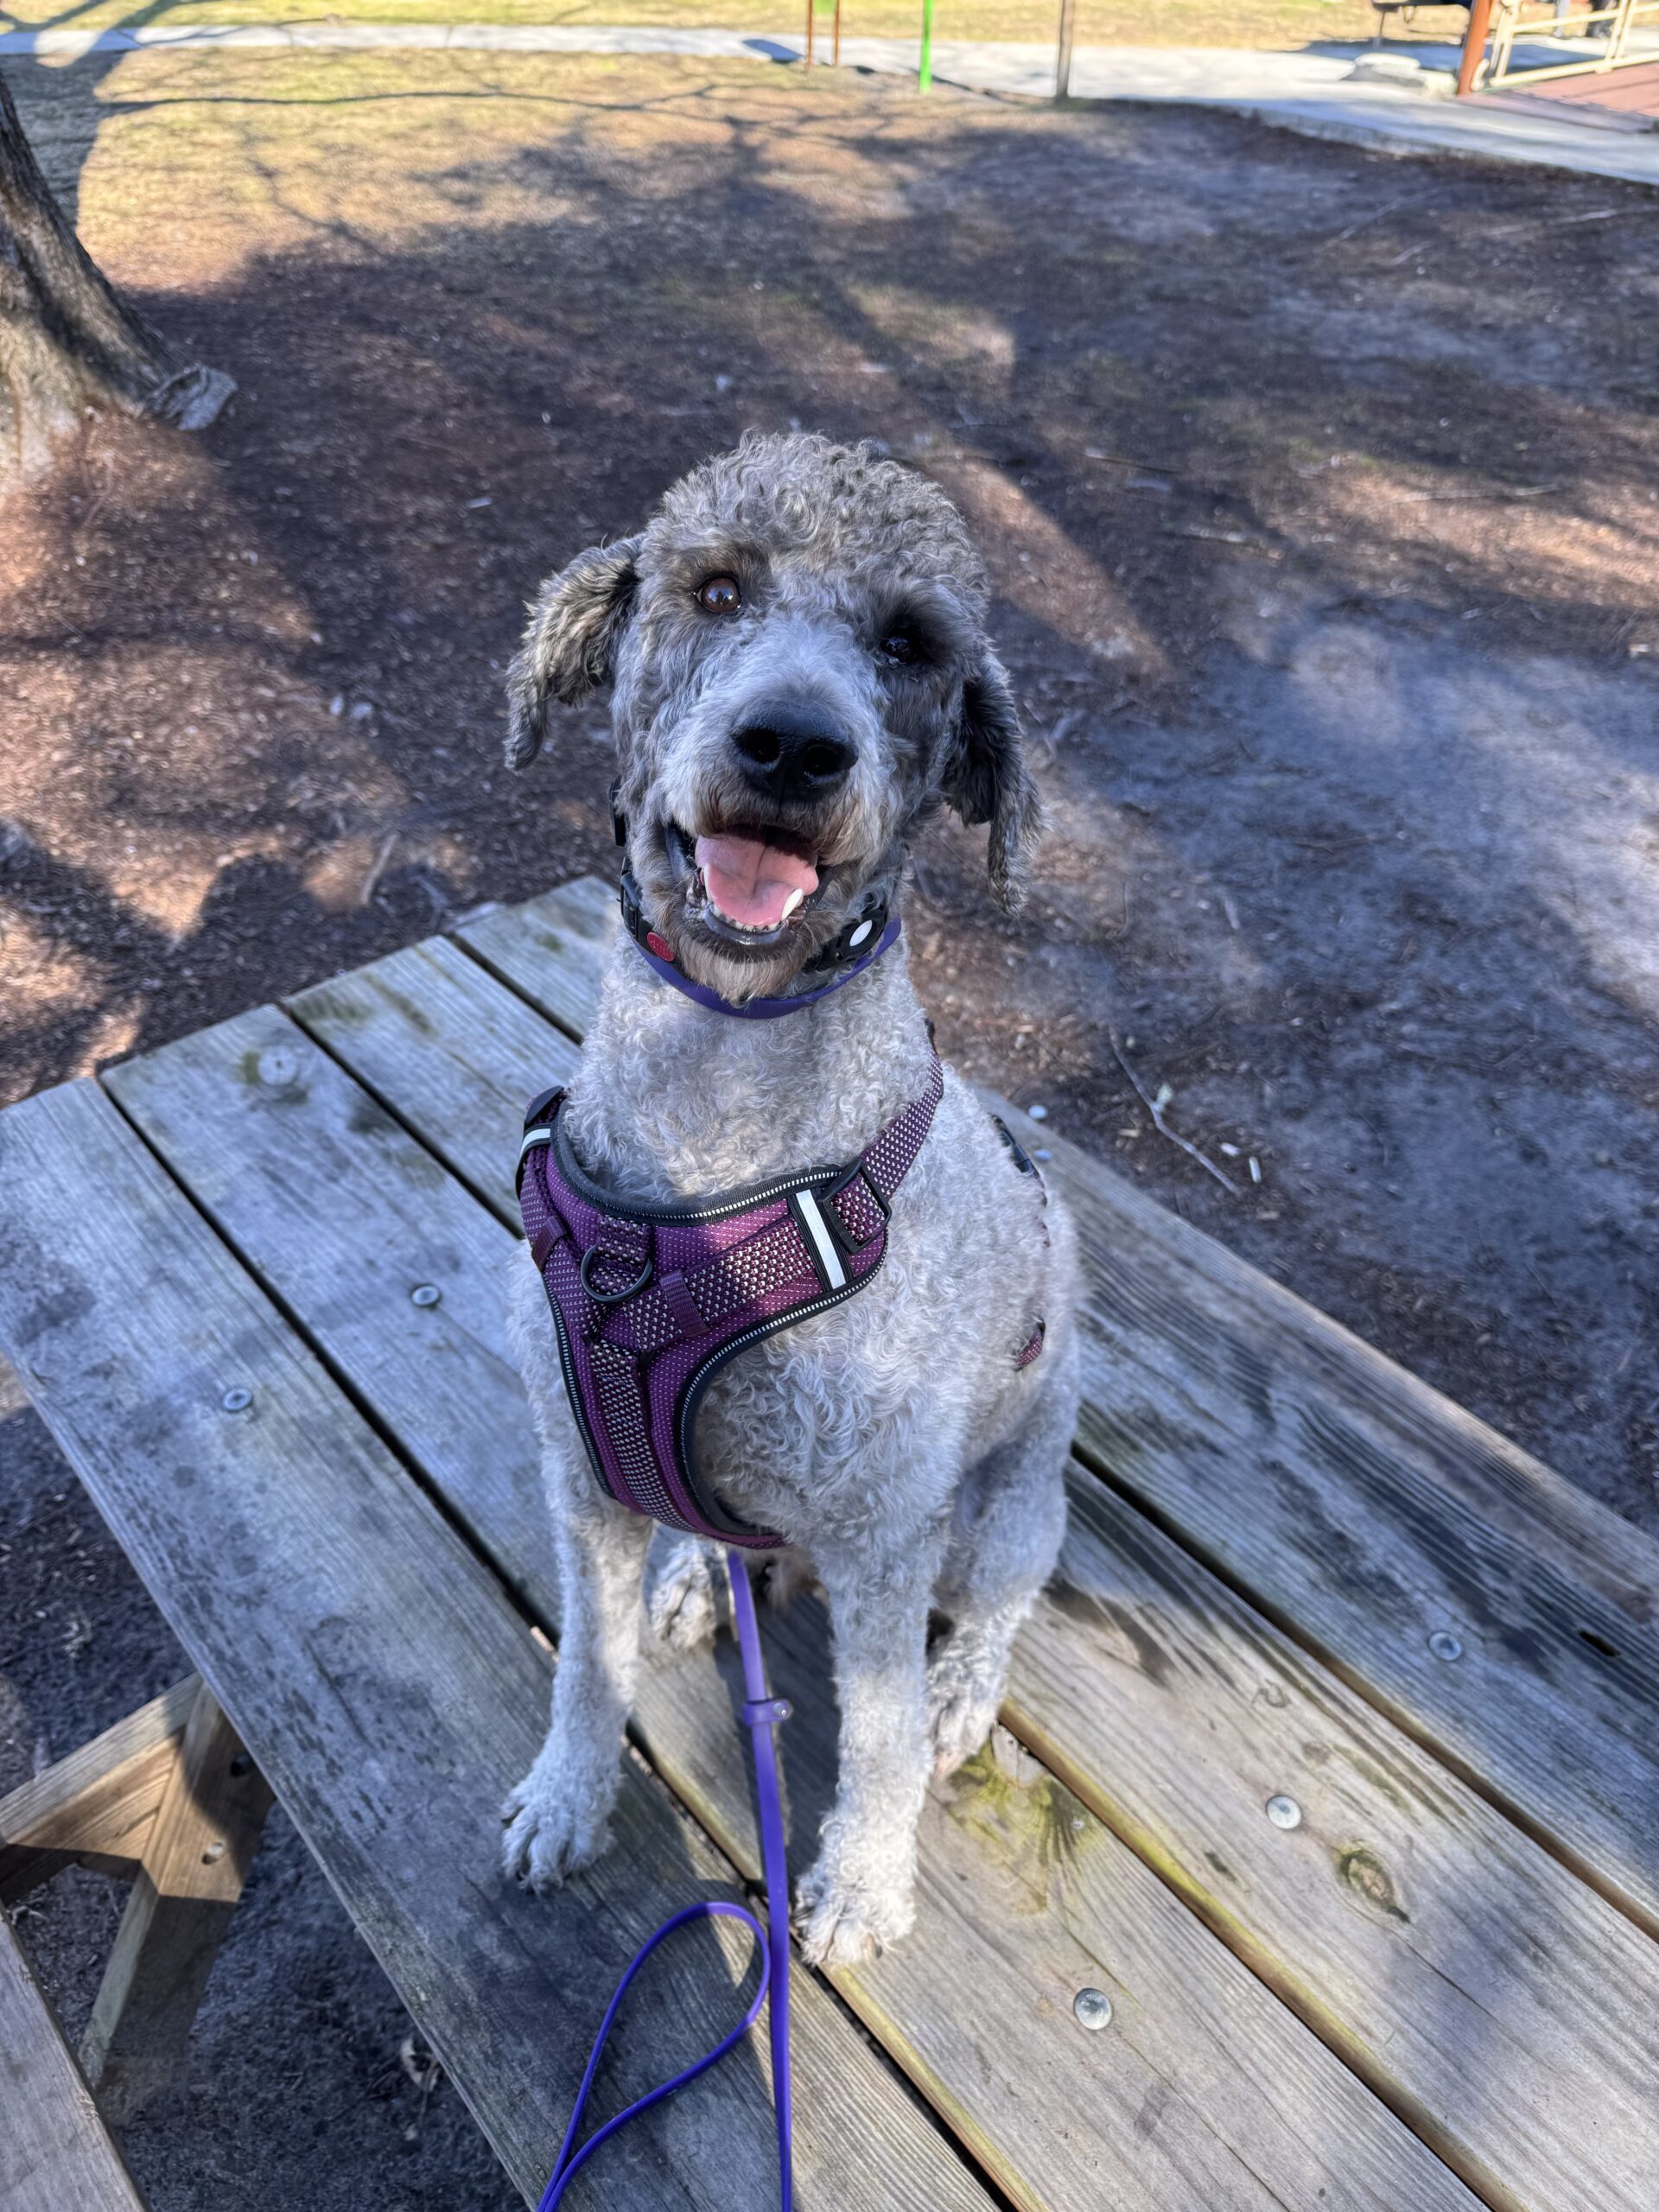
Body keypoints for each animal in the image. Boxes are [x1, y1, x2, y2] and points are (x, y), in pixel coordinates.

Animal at [499, 431, 1084, 1973]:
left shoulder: (884, 1537)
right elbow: (588, 1663)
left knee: (990, 1622)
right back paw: (699, 1579)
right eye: (715, 588)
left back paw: (960, 1694)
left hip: (1002, 1518)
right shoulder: (582, 1475)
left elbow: (875, 1744)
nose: (793, 747)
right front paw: (566, 1796)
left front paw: (864, 1887)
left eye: (911, 643)